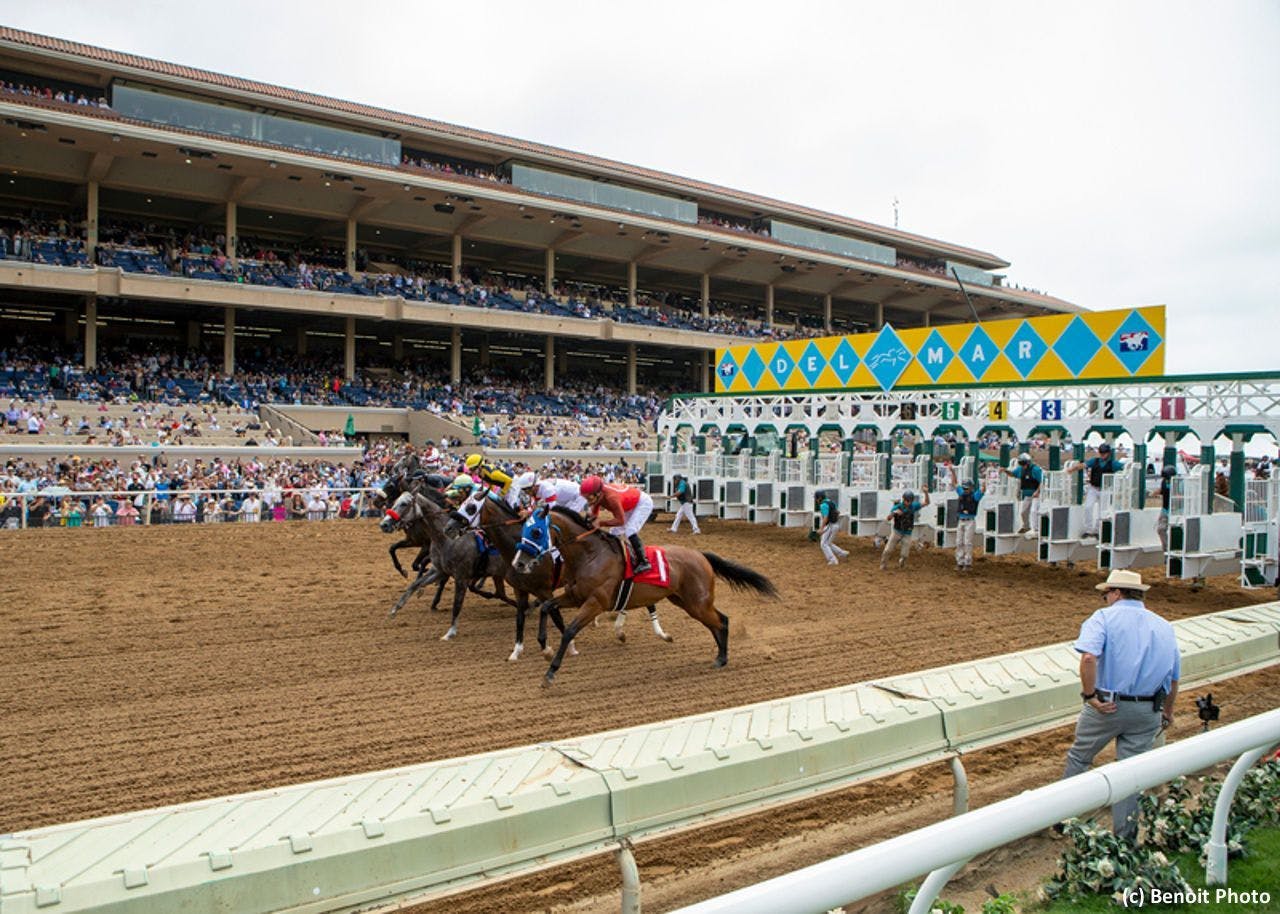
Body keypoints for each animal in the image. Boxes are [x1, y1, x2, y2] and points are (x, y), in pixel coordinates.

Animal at [512, 504, 778, 686]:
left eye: (536, 532)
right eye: (523, 528)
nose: (519, 563)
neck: (591, 555)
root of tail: (701, 555)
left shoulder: (595, 603)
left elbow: (569, 630)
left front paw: (550, 672)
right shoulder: (576, 596)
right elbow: (546, 606)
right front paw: (544, 647)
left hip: (697, 603)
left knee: (722, 621)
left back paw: (722, 657)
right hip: (686, 601)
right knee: (717, 622)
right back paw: (721, 657)